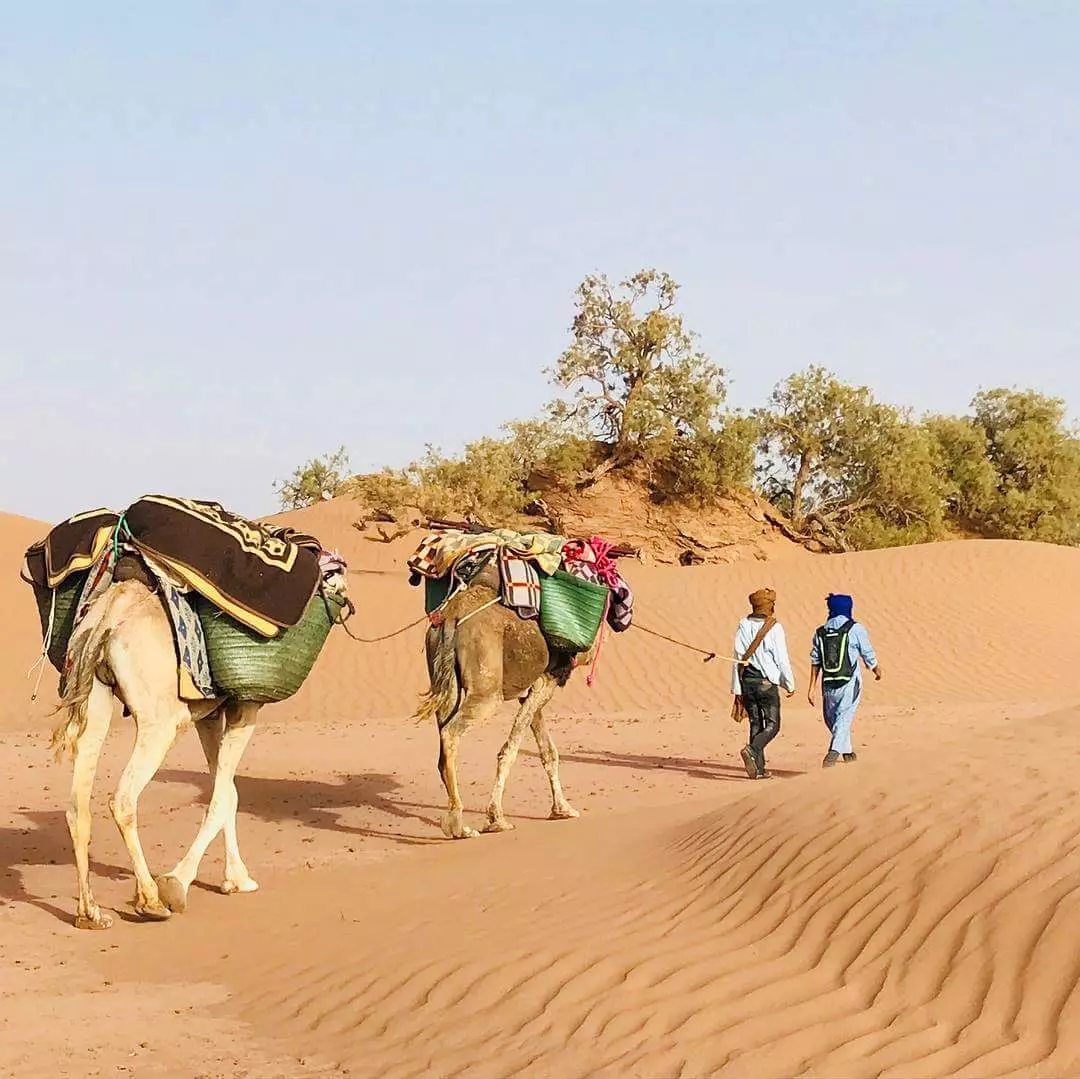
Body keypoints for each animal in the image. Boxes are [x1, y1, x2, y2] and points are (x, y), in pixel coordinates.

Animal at [50, 557, 347, 928]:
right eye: (333, 575)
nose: (342, 589)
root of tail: (108, 617)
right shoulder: (245, 706)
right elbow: (221, 797)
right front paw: (178, 883)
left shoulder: (209, 714)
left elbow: (228, 792)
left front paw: (236, 879)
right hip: (160, 721)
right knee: (123, 798)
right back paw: (151, 900)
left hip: (95, 697)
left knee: (78, 805)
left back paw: (90, 913)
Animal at [412, 565, 591, 842]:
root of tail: (452, 617)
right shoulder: (546, 681)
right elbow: (511, 750)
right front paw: (496, 819)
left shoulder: (531, 688)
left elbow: (547, 751)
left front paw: (562, 809)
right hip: (487, 688)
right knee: (452, 732)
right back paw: (459, 824)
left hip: (442, 673)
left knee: (443, 733)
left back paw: (457, 822)